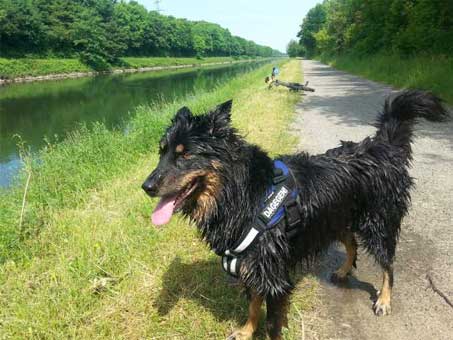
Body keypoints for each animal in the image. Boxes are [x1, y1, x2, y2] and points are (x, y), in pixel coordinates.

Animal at [143, 90, 446, 340]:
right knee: (351, 243)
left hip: (378, 223)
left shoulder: (274, 276)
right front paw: (245, 331)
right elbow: (253, 306)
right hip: (337, 219)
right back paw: (343, 270)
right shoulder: (255, 265)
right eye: (161, 151)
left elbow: (272, 324)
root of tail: (383, 147)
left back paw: (384, 299)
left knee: (388, 264)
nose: (146, 186)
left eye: (185, 155)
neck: (244, 194)